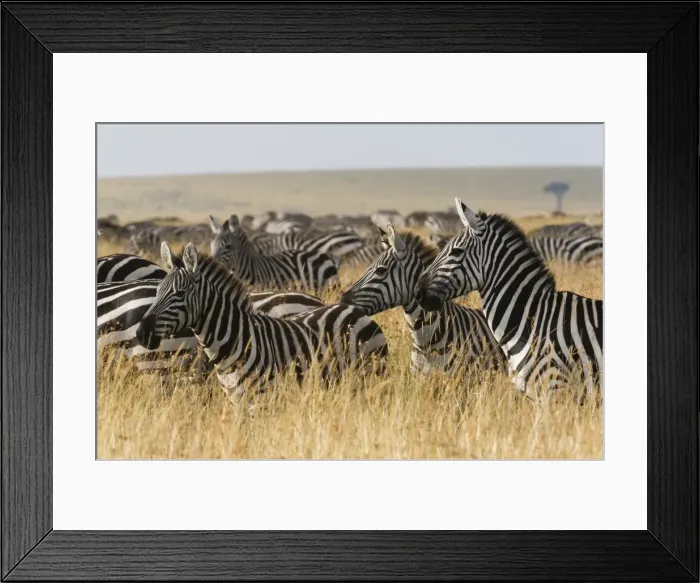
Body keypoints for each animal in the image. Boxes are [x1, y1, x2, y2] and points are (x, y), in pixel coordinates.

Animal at [135, 242, 388, 399]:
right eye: (157, 290)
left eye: (179, 294)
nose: (141, 334)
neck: (234, 340)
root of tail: (355, 311)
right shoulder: (235, 400)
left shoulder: (260, 398)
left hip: (369, 377)